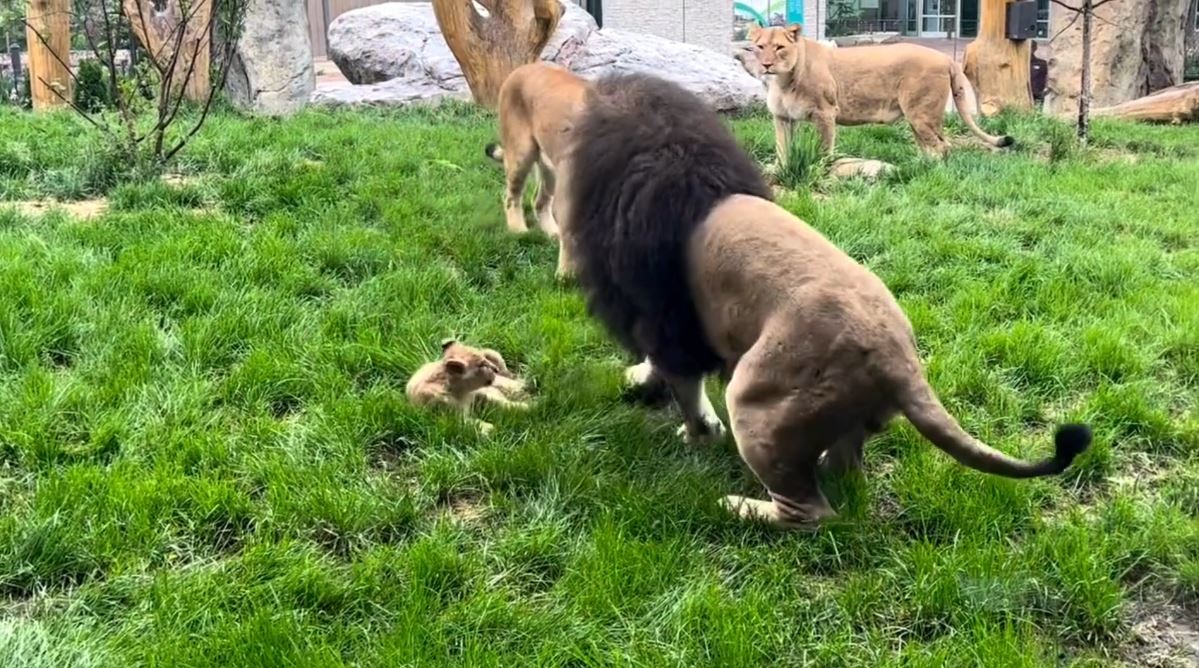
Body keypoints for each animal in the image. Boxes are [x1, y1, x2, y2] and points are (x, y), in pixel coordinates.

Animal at [485, 61, 591, 279]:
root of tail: (525, 66)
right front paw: (565, 276)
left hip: (551, 169)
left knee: (539, 201)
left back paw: (552, 232)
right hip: (521, 153)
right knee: (511, 196)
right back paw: (519, 231)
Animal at [555, 72, 1091, 528]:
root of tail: (899, 359)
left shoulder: (662, 312)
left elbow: (681, 383)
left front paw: (692, 430)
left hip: (753, 401)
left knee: (811, 513)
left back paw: (739, 507)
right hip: (847, 418)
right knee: (846, 474)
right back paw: (824, 472)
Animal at [746, 23, 1014, 162]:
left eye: (779, 47)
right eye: (760, 46)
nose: (766, 65)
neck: (782, 80)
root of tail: (947, 58)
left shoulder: (825, 113)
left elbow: (824, 149)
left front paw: (822, 169)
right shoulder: (783, 118)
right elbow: (782, 150)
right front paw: (781, 170)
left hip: (922, 114)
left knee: (942, 146)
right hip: (916, 119)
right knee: (929, 146)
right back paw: (920, 166)